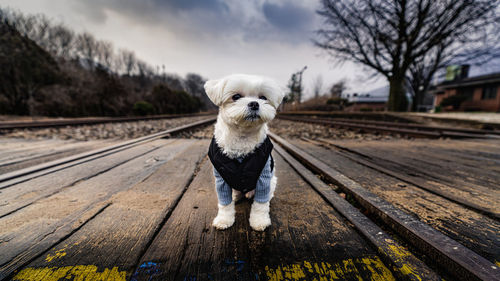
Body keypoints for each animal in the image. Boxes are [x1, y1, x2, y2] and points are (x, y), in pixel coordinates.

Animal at [202, 74, 282, 230]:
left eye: (263, 97)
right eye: (236, 96)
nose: (254, 104)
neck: (242, 137)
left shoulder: (263, 175)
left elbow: (260, 204)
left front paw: (259, 221)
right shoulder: (221, 177)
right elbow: (224, 203)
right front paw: (224, 220)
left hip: (273, 180)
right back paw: (235, 196)